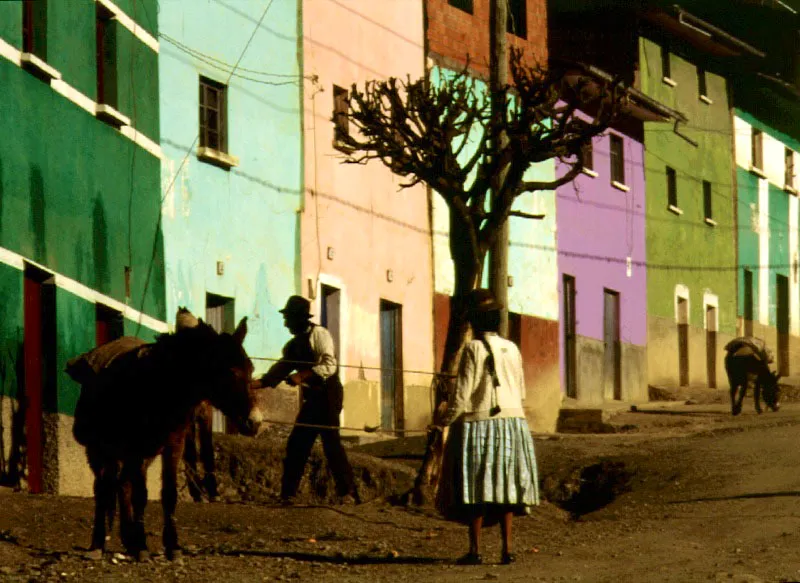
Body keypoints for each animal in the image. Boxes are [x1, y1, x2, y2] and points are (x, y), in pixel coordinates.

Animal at [68, 314, 262, 560]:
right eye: (230, 371)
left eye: (251, 369)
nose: (255, 422)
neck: (162, 387)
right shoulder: (135, 447)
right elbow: (140, 495)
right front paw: (142, 547)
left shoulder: (173, 445)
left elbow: (168, 494)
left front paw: (172, 546)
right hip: (98, 449)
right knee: (103, 488)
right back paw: (98, 544)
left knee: (122, 484)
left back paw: (128, 540)